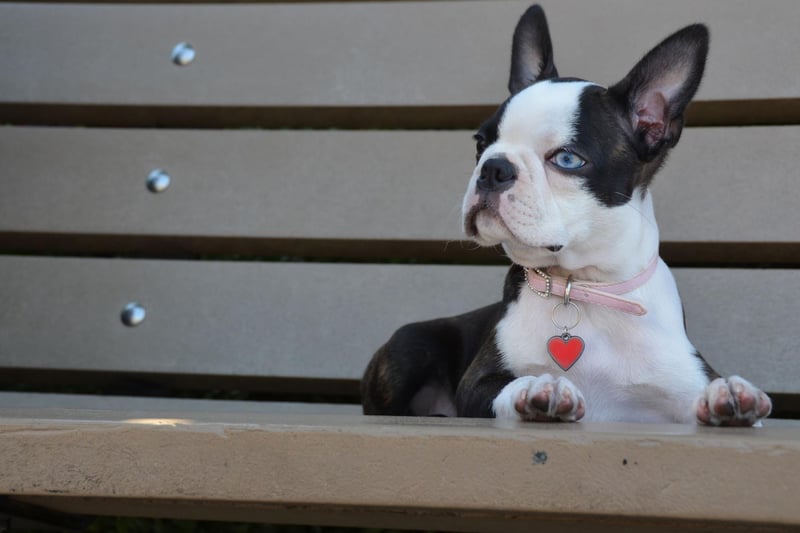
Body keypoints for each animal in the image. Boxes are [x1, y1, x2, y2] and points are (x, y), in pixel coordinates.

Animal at [362, 4, 776, 426]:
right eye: (480, 143)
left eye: (567, 159)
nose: (493, 167)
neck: (584, 287)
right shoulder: (477, 383)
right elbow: (507, 384)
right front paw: (536, 387)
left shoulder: (685, 378)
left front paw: (728, 396)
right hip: (409, 343)